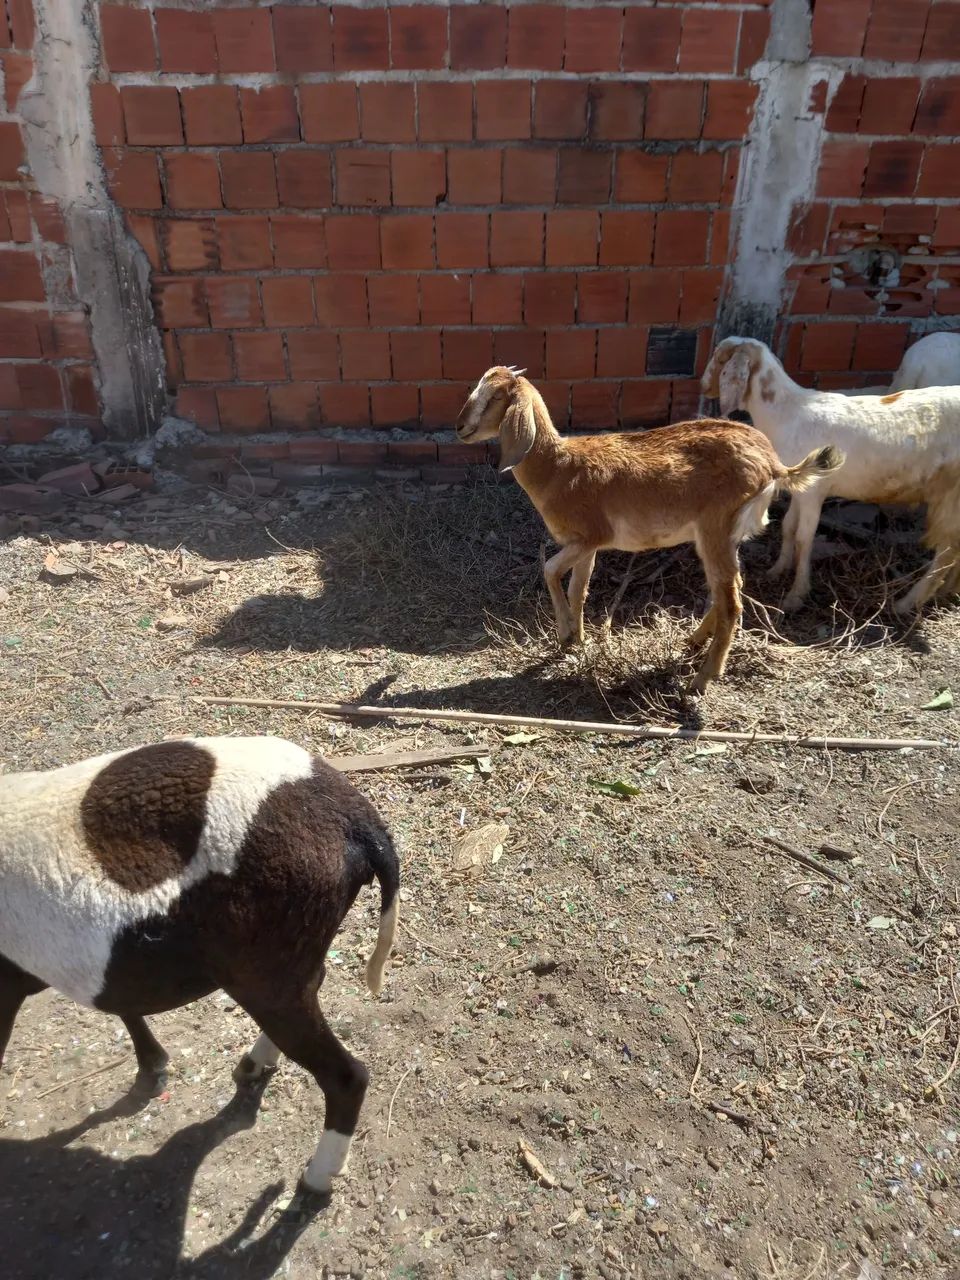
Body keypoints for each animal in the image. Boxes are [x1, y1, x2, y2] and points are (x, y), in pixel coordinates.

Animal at [0, 735, 399, 1197]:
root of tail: (360, 823)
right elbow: (125, 1002)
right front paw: (152, 1069)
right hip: (285, 960)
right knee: (314, 986)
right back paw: (254, 1065)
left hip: (264, 968)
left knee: (346, 1076)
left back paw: (316, 1176)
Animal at [455, 366, 843, 693]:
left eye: (494, 397)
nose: (460, 427)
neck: (558, 468)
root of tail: (774, 465)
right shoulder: (585, 545)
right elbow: (578, 589)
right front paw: (575, 641)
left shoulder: (591, 535)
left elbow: (550, 570)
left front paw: (565, 633)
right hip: (723, 536)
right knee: (731, 589)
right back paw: (693, 642)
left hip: (716, 529)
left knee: (731, 602)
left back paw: (701, 680)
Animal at [701, 337, 960, 613]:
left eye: (719, 357)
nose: (703, 386)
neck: (787, 413)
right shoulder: (800, 488)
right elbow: (788, 527)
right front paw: (777, 569)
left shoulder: (814, 490)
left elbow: (804, 539)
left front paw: (796, 595)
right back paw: (947, 591)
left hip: (951, 496)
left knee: (946, 553)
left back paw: (906, 603)